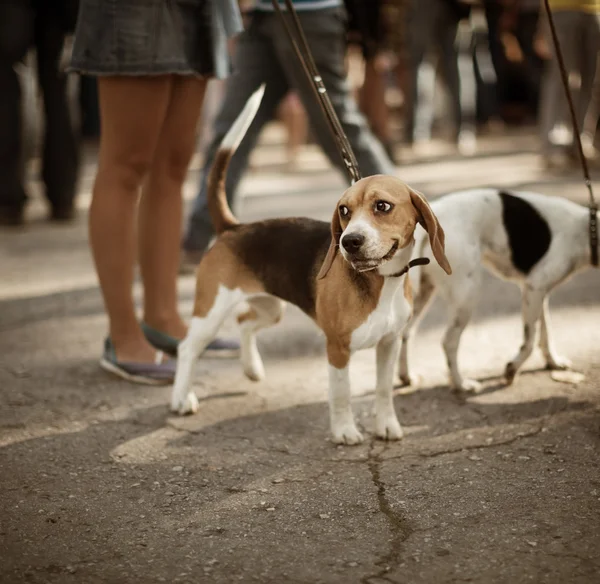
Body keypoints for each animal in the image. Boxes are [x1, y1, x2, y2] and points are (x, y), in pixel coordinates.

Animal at [170, 85, 450, 442]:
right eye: (344, 210)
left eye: (382, 206)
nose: (349, 242)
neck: (380, 282)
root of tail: (233, 227)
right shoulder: (338, 349)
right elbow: (342, 394)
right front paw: (344, 431)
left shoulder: (388, 344)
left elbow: (384, 391)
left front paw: (387, 425)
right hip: (211, 311)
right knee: (187, 348)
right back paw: (181, 398)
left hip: (271, 308)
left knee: (245, 321)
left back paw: (252, 368)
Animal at [396, 189, 596, 392]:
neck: (587, 230)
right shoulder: (535, 288)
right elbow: (530, 339)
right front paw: (512, 370)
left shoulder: (539, 294)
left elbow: (545, 333)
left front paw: (553, 362)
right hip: (467, 296)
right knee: (449, 342)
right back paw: (461, 384)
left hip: (424, 293)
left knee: (405, 333)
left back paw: (406, 376)